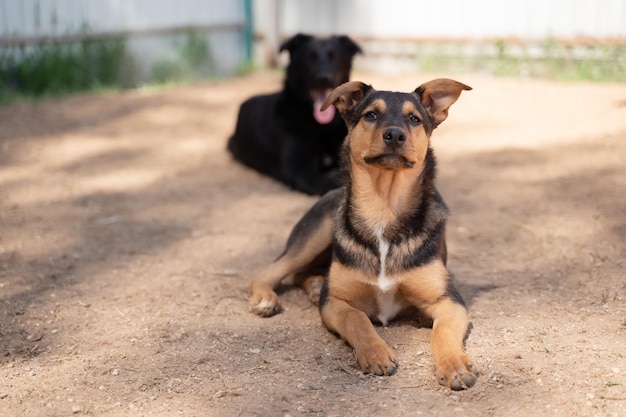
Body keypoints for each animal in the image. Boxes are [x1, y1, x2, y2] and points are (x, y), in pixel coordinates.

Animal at [227, 33, 360, 194]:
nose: (324, 78)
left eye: (334, 57)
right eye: (309, 58)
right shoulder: (299, 170)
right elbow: (331, 182)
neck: (323, 127)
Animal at [246, 79, 476, 390]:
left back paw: (314, 285)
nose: (394, 135)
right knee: (273, 270)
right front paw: (376, 353)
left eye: (414, 119)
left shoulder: (449, 301)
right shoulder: (334, 303)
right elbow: (357, 319)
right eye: (371, 114)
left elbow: (443, 333)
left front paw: (454, 365)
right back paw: (267, 298)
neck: (383, 209)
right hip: (318, 231)